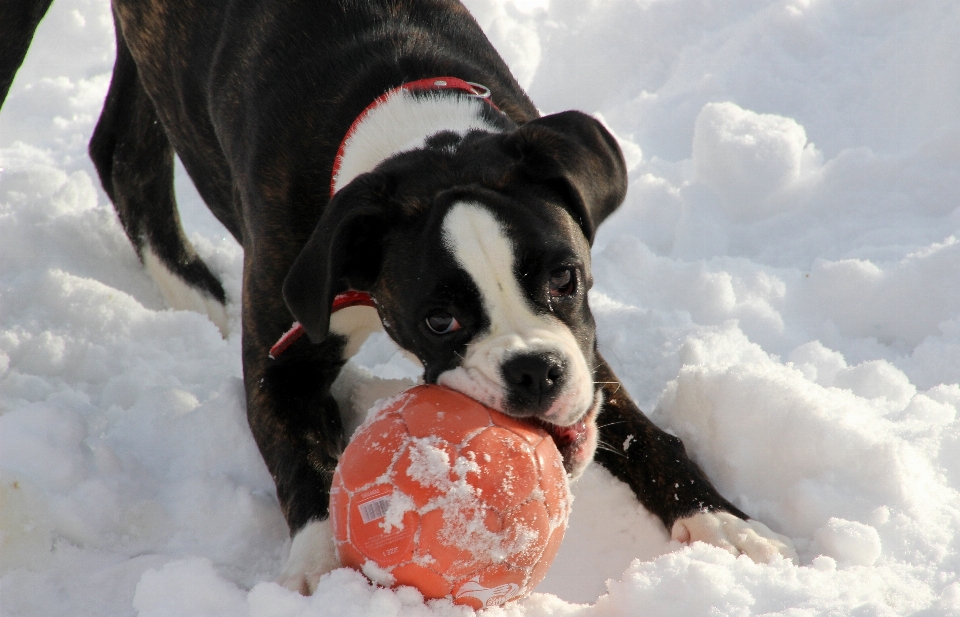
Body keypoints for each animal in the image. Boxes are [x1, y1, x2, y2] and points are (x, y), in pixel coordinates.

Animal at [0, 0, 796, 596]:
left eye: (564, 278)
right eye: (439, 320)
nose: (532, 371)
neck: (415, 137)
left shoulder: (582, 350)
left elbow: (643, 433)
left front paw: (723, 523)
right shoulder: (280, 363)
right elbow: (305, 466)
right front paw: (321, 570)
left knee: (124, 148)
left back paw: (198, 299)